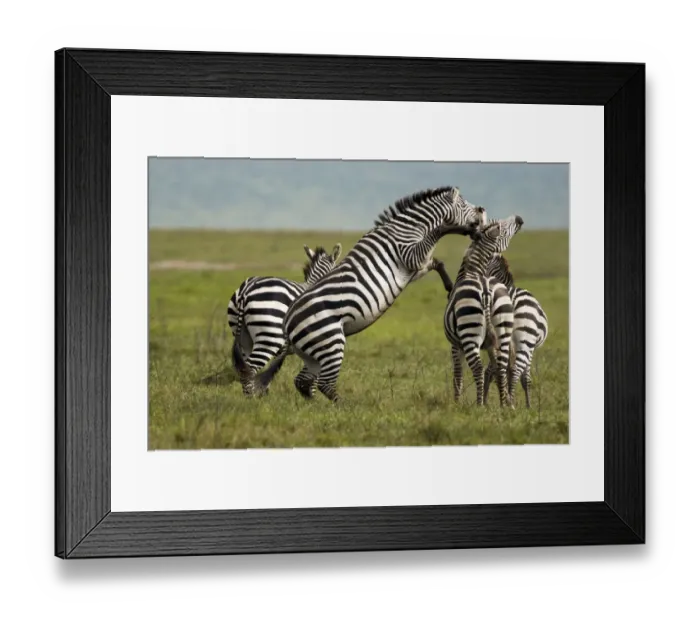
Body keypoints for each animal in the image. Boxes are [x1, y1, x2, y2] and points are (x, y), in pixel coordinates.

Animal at [227, 243, 342, 396]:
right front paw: (312, 395)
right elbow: (313, 376)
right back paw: (251, 399)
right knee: (250, 368)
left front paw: (265, 392)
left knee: (244, 367)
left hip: (243, 337)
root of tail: (245, 290)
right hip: (269, 336)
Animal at [256, 186, 488, 403]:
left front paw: (450, 286)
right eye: (465, 204)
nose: (482, 209)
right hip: (331, 341)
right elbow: (437, 238)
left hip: (313, 351)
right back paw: (344, 407)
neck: (410, 228)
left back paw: (313, 405)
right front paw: (452, 227)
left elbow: (437, 262)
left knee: (303, 382)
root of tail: (287, 323)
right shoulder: (409, 255)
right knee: (324, 383)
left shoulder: (415, 268)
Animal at [443, 215, 524, 408]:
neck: (473, 272)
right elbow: (495, 366)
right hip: (503, 328)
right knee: (502, 365)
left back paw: (479, 405)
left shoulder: (455, 345)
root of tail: (486, 289)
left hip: (469, 332)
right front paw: (505, 399)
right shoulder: (489, 344)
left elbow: (457, 375)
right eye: (502, 225)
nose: (519, 218)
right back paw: (503, 405)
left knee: (478, 368)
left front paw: (456, 402)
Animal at [482, 253, 549, 408]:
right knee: (516, 370)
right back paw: (511, 402)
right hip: (525, 340)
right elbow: (525, 378)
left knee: (495, 370)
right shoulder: (531, 347)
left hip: (500, 338)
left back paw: (491, 401)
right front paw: (528, 405)